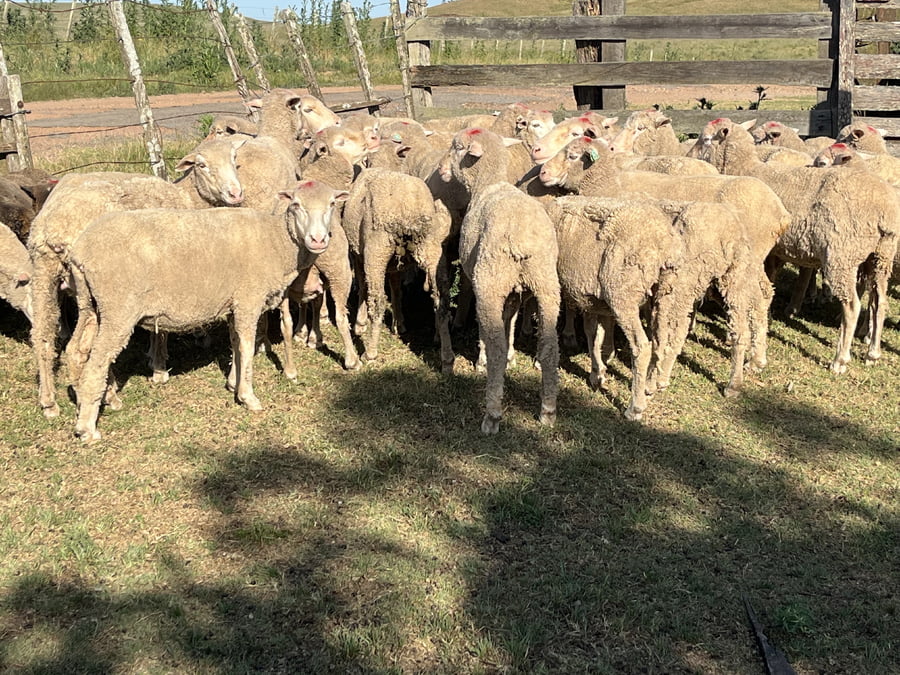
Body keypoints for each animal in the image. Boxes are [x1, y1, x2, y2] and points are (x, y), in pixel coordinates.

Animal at [28, 138, 245, 418]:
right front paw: (160, 368)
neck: (187, 199)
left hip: (43, 272)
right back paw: (107, 395)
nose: (236, 193)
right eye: (202, 165)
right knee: (94, 348)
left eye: (234, 158)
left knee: (43, 336)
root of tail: (54, 227)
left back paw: (49, 402)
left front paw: (153, 357)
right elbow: (161, 326)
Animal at [66, 180, 347, 442]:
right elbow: (247, 346)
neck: (276, 242)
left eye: (332, 204)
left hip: (91, 305)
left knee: (77, 351)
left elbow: (235, 343)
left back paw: (100, 400)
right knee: (97, 362)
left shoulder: (234, 303)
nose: (318, 240)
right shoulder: (248, 300)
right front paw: (248, 397)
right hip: (118, 309)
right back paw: (87, 427)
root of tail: (79, 251)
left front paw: (233, 383)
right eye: (296, 205)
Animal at [443, 127, 560, 434]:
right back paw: (548, 411)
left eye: (457, 147)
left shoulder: (478, 280)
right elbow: (511, 320)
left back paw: (492, 415)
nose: (442, 169)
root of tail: (522, 237)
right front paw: (512, 355)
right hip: (546, 284)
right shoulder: (516, 292)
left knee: (494, 343)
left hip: (491, 280)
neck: (488, 182)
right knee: (549, 347)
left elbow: (491, 331)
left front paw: (483, 360)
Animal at [697, 117, 900, 373]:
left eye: (705, 139)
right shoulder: (773, 251)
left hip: (841, 257)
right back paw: (873, 352)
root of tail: (885, 209)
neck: (744, 169)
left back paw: (840, 360)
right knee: (879, 301)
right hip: (881, 256)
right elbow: (769, 282)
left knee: (852, 305)